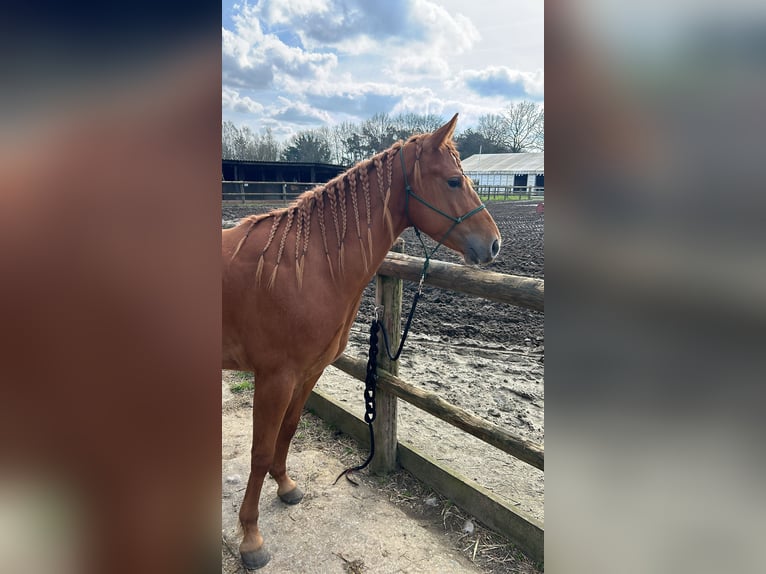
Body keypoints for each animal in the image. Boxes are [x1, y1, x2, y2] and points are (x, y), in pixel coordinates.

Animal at [222, 114, 501, 569]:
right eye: (454, 181)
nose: (494, 244)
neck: (303, 266)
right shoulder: (274, 378)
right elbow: (260, 450)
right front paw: (250, 538)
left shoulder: (308, 372)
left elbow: (288, 431)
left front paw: (286, 486)